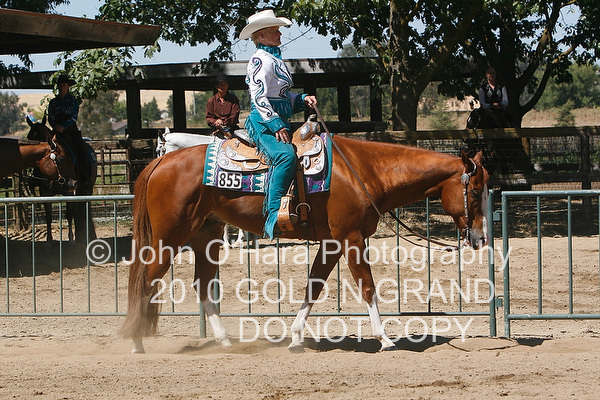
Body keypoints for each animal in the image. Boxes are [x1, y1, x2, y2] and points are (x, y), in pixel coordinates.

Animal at [123, 124, 489, 354]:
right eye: (474, 191)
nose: (481, 238)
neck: (363, 171)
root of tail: (161, 164)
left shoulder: (333, 243)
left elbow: (314, 286)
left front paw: (297, 338)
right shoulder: (352, 238)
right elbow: (367, 286)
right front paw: (385, 338)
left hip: (206, 235)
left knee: (202, 283)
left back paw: (224, 341)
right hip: (169, 238)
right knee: (147, 280)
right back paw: (135, 341)